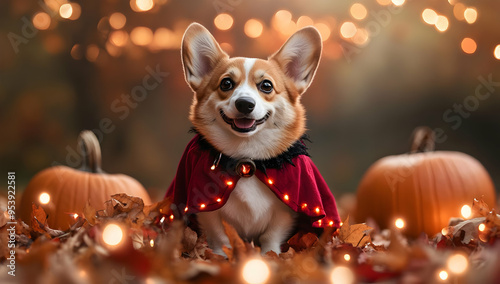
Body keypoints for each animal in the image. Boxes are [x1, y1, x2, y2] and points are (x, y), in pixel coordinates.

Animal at [168, 23, 340, 256]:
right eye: (226, 83)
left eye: (266, 86)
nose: (244, 104)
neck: (246, 158)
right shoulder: (208, 209)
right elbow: (220, 236)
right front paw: (220, 257)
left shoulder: (285, 210)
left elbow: (271, 236)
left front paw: (271, 256)